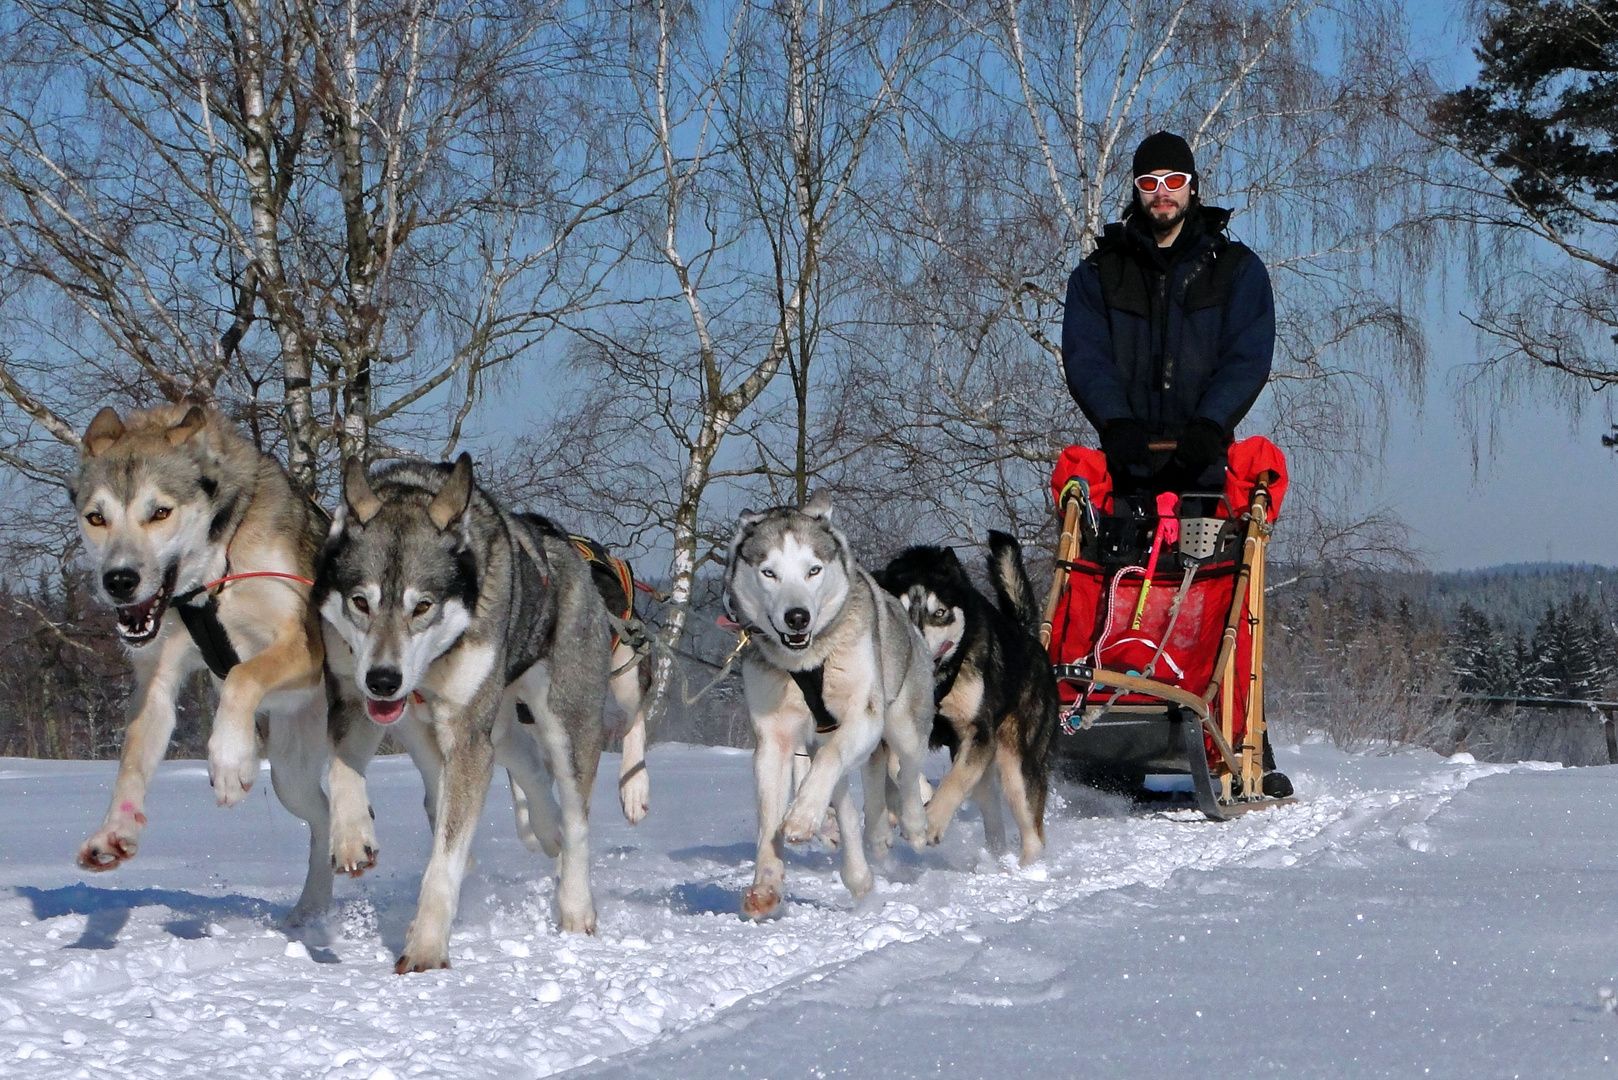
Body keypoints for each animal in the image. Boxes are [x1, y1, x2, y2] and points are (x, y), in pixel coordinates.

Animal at [70, 401, 334, 926]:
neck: (213, 570)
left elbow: (242, 675)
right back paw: (316, 901)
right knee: (325, 815)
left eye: (160, 512)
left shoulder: (303, 645)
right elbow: (133, 758)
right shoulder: (157, 678)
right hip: (292, 773)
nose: (119, 580)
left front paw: (229, 757)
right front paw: (115, 829)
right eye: (96, 517)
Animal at [318, 453, 608, 977]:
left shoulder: (467, 734)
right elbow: (343, 766)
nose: (384, 679)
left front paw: (427, 946)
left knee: (576, 817)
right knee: (522, 763)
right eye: (360, 601)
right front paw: (351, 837)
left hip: (564, 719)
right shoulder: (353, 696)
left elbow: (445, 861)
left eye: (423, 606)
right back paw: (545, 827)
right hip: (490, 723)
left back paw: (576, 905)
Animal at [724, 495, 938, 919]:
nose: (797, 617)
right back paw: (865, 857)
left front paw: (803, 815)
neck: (806, 663)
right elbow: (770, 816)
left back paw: (913, 825)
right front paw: (766, 884)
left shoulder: (861, 716)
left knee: (906, 772)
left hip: (904, 722)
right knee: (854, 797)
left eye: (814, 569)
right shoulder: (774, 737)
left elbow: (830, 760)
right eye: (769, 572)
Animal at [873, 531, 1061, 867]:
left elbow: (954, 782)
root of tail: (1028, 635)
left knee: (1032, 833)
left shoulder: (978, 733)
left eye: (939, 613)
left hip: (1017, 765)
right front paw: (918, 798)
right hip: (986, 775)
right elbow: (898, 765)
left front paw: (932, 821)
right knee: (990, 808)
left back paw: (1027, 870)